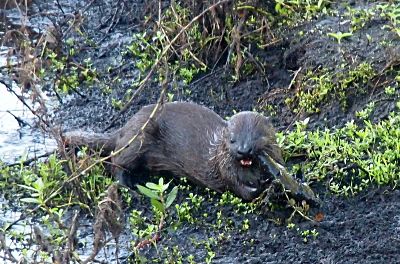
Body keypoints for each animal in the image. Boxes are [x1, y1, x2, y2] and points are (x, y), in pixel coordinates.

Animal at [65, 102, 308, 201]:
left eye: (256, 137)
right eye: (232, 139)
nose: (242, 150)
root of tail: (125, 127)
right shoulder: (225, 170)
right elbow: (240, 189)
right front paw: (262, 189)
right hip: (138, 139)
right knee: (116, 163)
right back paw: (130, 188)